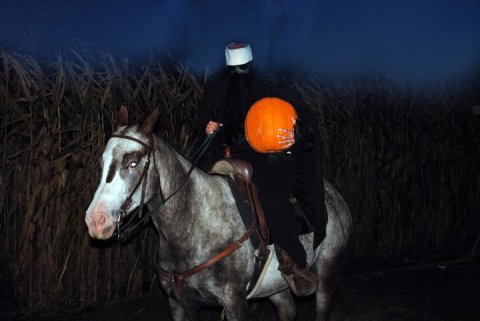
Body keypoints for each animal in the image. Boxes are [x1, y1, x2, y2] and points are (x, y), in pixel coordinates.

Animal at [85, 107, 352, 320]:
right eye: (101, 163)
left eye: (132, 162)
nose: (96, 220)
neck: (194, 223)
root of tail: (337, 198)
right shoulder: (179, 304)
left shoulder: (234, 302)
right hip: (276, 288)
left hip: (327, 275)